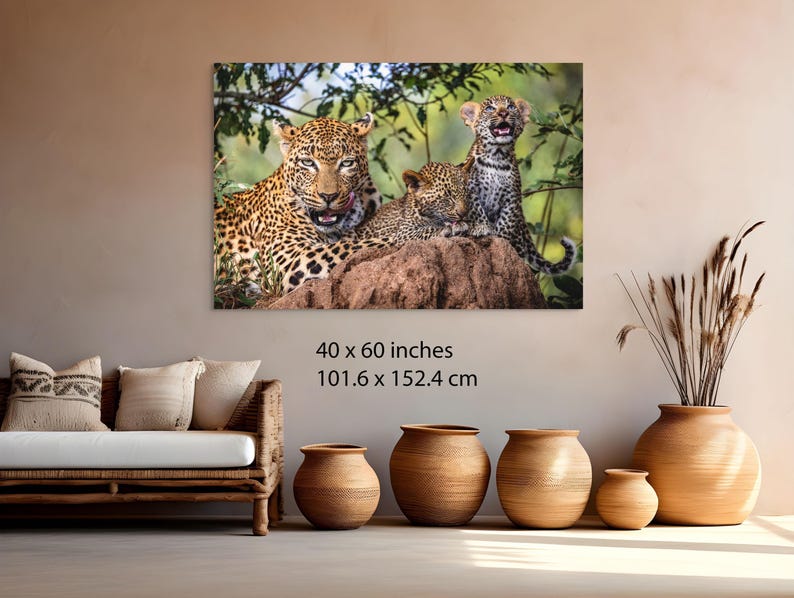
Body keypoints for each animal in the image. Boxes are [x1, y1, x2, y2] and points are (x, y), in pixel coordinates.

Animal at [459, 95, 576, 275]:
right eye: (490, 108)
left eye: (511, 107)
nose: (503, 113)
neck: (496, 156)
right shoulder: (471, 189)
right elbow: (477, 211)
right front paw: (482, 228)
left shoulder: (512, 195)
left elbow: (506, 221)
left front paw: (502, 240)